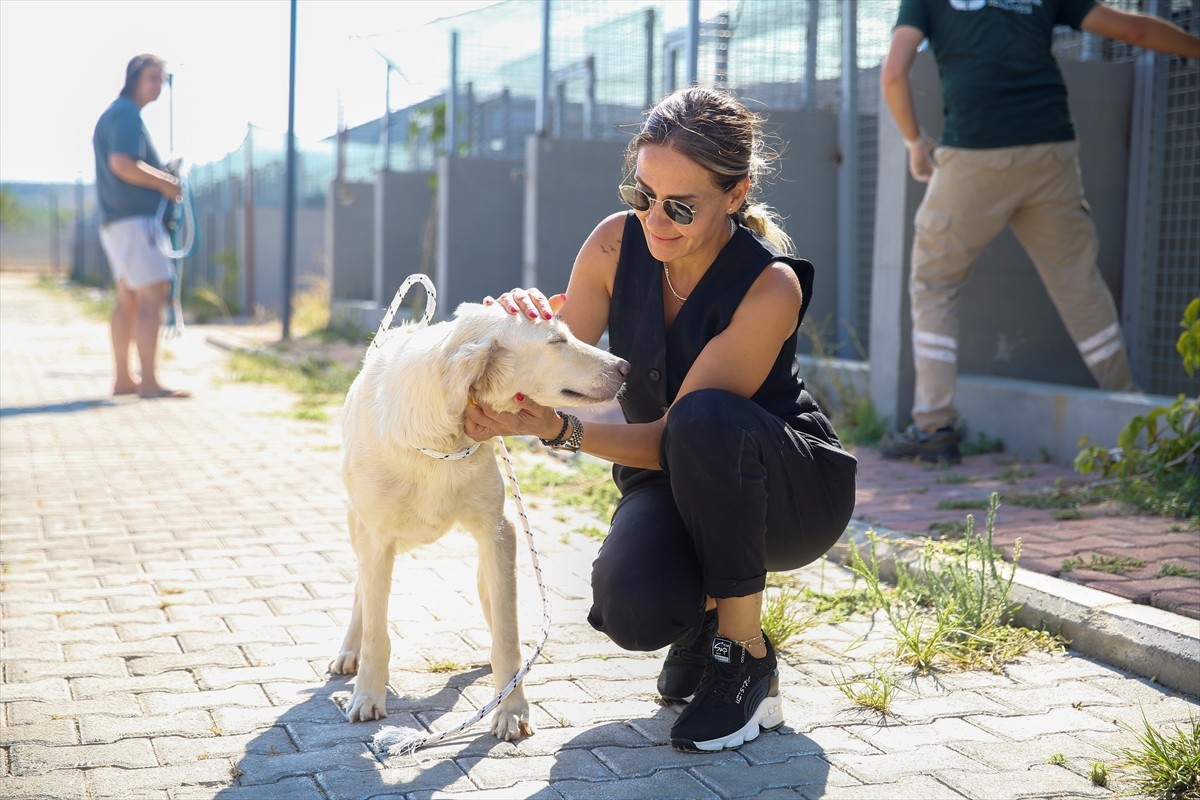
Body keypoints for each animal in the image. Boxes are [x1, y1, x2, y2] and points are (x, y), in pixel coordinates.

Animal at [328, 303, 628, 743]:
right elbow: (376, 631)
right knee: (361, 593)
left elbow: (507, 637)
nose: (626, 367)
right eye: (556, 341)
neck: (439, 439)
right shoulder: (376, 536)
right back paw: (349, 650)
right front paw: (367, 693)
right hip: (359, 528)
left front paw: (511, 708)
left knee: (490, 599)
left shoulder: (499, 531)